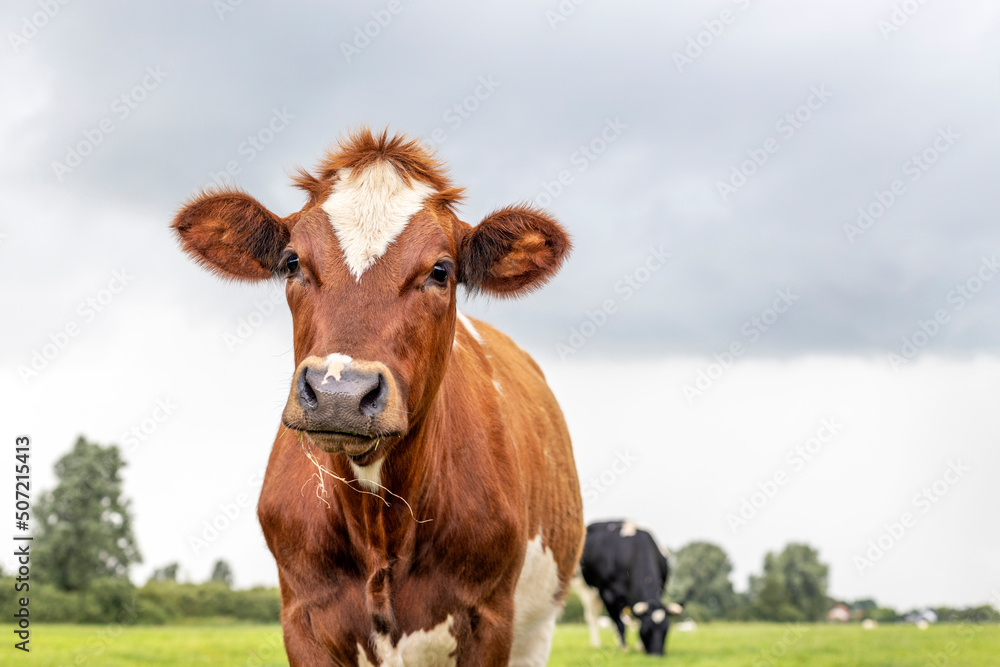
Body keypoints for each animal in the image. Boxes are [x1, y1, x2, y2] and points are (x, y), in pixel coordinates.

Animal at [169, 128, 584, 664]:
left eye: (441, 271)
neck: (378, 526)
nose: (339, 392)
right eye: (292, 262)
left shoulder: (491, 619)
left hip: (538, 629)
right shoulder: (302, 618)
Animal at [576, 520, 684, 656]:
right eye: (646, 630)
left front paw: (639, 646)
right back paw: (596, 643)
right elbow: (619, 622)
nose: (657, 654)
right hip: (586, 589)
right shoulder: (608, 594)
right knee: (592, 616)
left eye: (666, 630)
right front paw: (624, 647)